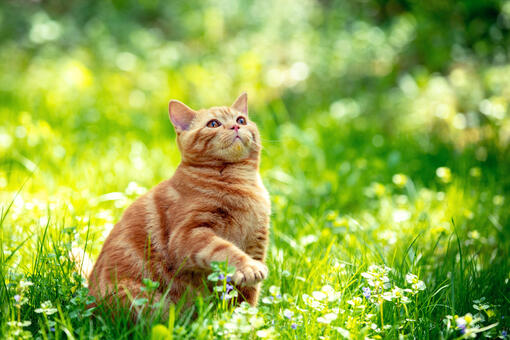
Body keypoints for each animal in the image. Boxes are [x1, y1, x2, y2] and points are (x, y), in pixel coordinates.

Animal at [87, 93, 270, 308]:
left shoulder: (256, 243)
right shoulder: (187, 235)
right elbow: (223, 249)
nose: (235, 127)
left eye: (241, 120)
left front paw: (246, 317)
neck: (242, 182)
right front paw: (248, 267)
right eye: (213, 124)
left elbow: (246, 299)